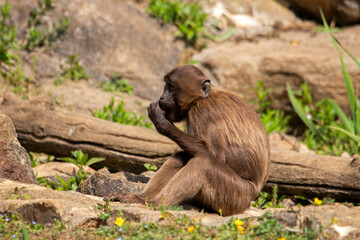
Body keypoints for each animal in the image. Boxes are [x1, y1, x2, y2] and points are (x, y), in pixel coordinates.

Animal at [105, 64, 268, 216]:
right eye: (166, 86)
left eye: (171, 87)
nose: (162, 97)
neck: (202, 99)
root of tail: (252, 198)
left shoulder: (205, 113)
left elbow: (216, 156)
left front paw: (162, 123)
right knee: (183, 155)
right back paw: (142, 198)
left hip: (236, 197)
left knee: (204, 162)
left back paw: (153, 204)